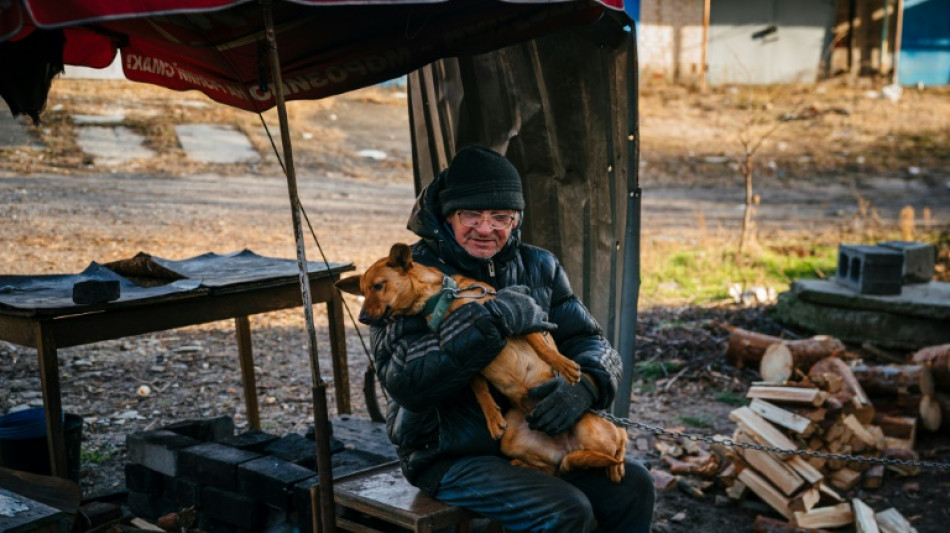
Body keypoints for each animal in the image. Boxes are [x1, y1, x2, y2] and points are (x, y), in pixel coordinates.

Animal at [338, 243, 628, 480]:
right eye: (362, 291)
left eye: (378, 286)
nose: (362, 318)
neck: (445, 299)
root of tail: (567, 446)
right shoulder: (472, 356)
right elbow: (479, 389)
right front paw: (491, 417)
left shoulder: (524, 318)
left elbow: (542, 348)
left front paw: (564, 365)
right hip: (513, 441)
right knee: (556, 468)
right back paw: (525, 464)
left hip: (591, 429)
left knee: (621, 441)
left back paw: (614, 465)